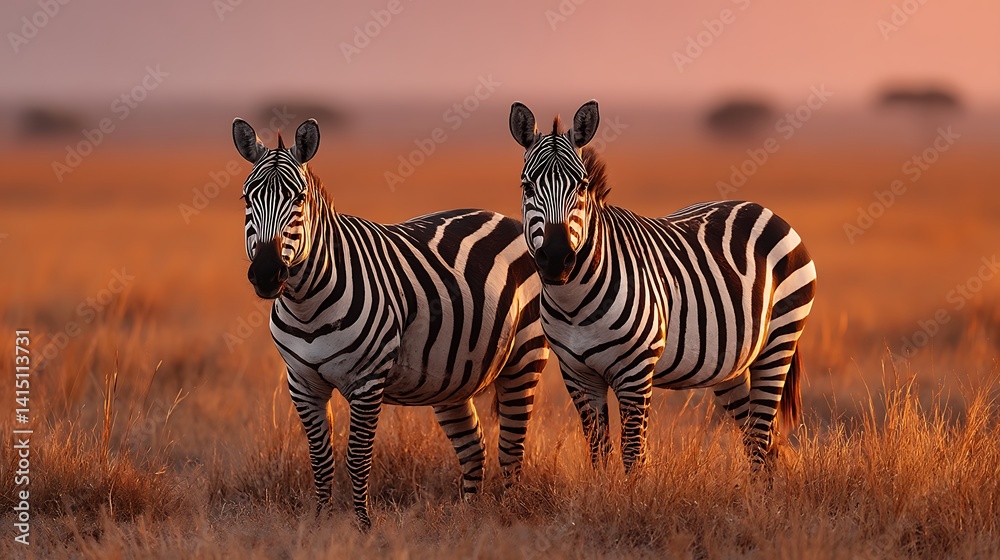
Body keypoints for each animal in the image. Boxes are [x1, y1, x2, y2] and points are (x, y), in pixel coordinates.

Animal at [232, 117, 549, 529]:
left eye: (298, 199)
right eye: (246, 199)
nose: (267, 274)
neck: (306, 303)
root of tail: (501, 217)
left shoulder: (367, 382)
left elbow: (357, 458)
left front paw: (363, 526)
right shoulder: (302, 383)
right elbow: (319, 459)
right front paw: (318, 522)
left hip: (523, 358)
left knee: (511, 449)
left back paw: (508, 514)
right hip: (451, 378)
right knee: (473, 447)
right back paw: (469, 518)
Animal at [507, 100, 816, 471]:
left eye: (581, 186)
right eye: (526, 187)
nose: (556, 259)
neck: (573, 303)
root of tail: (761, 207)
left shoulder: (636, 372)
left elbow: (632, 453)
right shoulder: (577, 376)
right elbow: (599, 453)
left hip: (779, 342)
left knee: (760, 435)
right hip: (735, 364)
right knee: (762, 442)